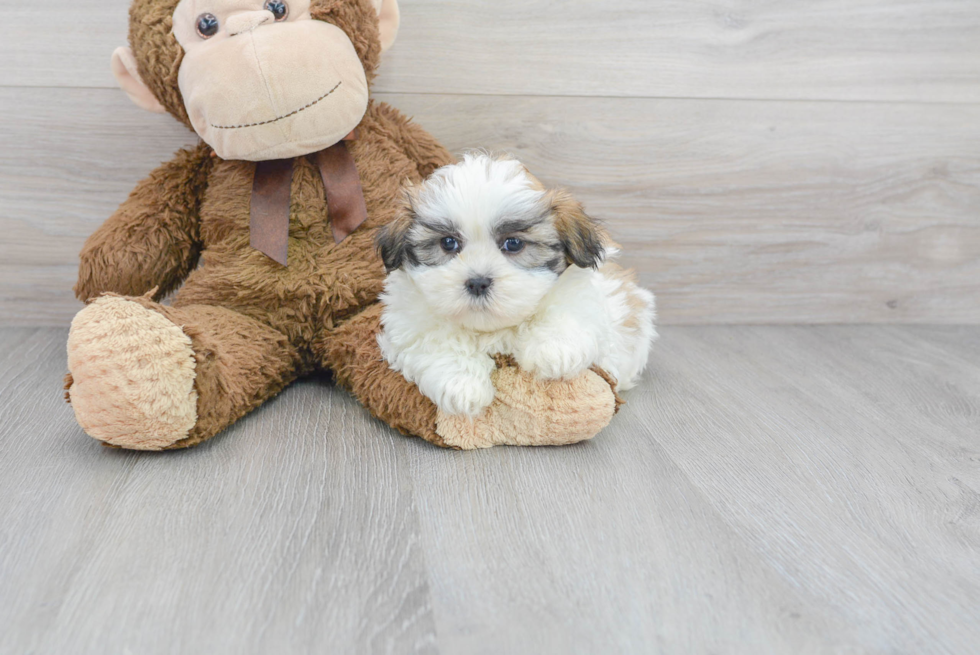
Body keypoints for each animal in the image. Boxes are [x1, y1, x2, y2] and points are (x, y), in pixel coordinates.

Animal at [378, 155, 660, 416]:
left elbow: (567, 310)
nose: (478, 282)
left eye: (513, 244)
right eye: (448, 243)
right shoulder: (409, 321)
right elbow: (434, 339)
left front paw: (554, 350)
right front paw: (463, 384)